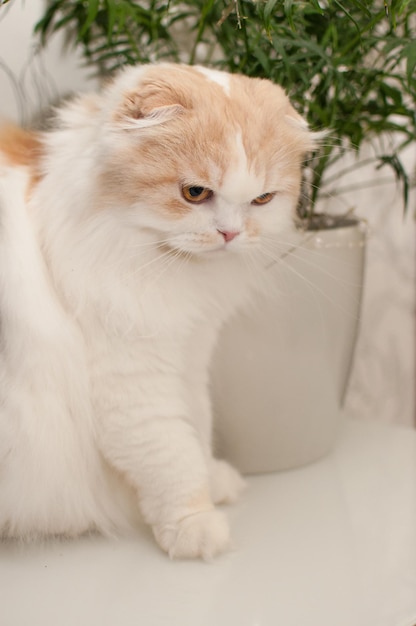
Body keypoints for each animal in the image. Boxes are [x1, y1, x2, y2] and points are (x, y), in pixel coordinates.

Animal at [0, 63, 316, 560]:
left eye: (262, 200)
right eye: (195, 193)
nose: (230, 234)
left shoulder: (189, 353)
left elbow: (197, 425)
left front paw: (214, 480)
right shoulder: (132, 378)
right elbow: (171, 455)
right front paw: (195, 524)